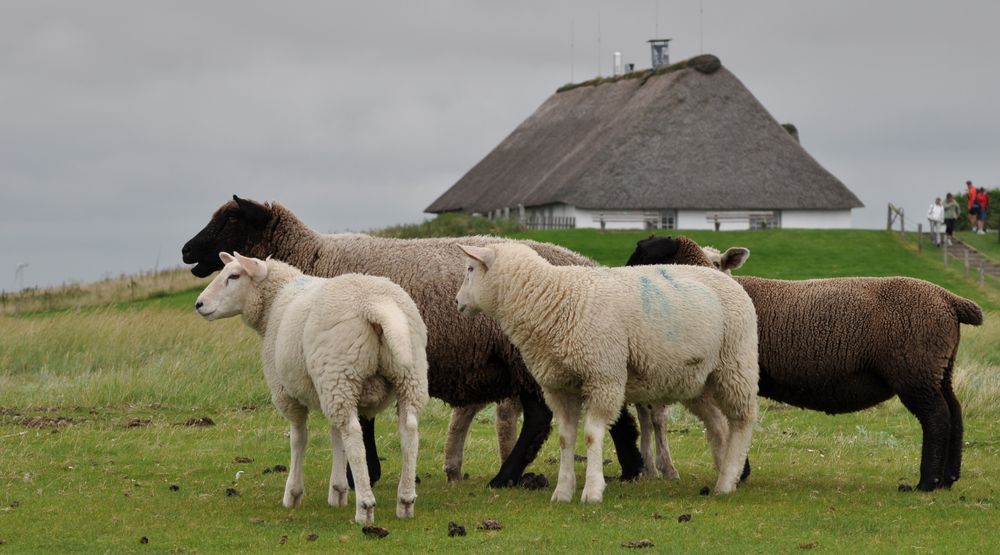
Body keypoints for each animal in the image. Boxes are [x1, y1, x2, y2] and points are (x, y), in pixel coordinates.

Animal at [179, 197, 640, 490]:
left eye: (231, 221)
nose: (185, 250)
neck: (312, 260)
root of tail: (588, 264)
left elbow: (360, 422)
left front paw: (360, 476)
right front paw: (364, 473)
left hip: (527, 361)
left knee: (541, 420)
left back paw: (505, 478)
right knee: (613, 414)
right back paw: (632, 469)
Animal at [196, 252, 430, 524]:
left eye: (234, 276)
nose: (199, 304)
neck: (275, 302)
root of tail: (375, 304)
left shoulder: (287, 393)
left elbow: (299, 438)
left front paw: (293, 493)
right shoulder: (327, 388)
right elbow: (335, 436)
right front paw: (338, 491)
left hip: (340, 371)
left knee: (354, 434)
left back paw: (365, 507)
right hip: (404, 375)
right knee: (408, 430)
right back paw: (405, 501)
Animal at [456, 243, 756, 504]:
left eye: (470, 268)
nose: (457, 301)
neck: (554, 300)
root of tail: (729, 281)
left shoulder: (604, 377)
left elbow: (591, 435)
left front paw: (592, 491)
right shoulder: (560, 387)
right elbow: (566, 438)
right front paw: (563, 492)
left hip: (735, 365)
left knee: (742, 420)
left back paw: (727, 480)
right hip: (696, 380)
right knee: (718, 424)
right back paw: (724, 475)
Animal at [624, 235, 984, 490]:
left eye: (642, 256)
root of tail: (950, 301)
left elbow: (728, 422)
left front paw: (736, 471)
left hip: (915, 369)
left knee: (936, 418)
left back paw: (927, 483)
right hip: (939, 368)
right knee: (954, 413)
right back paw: (949, 479)